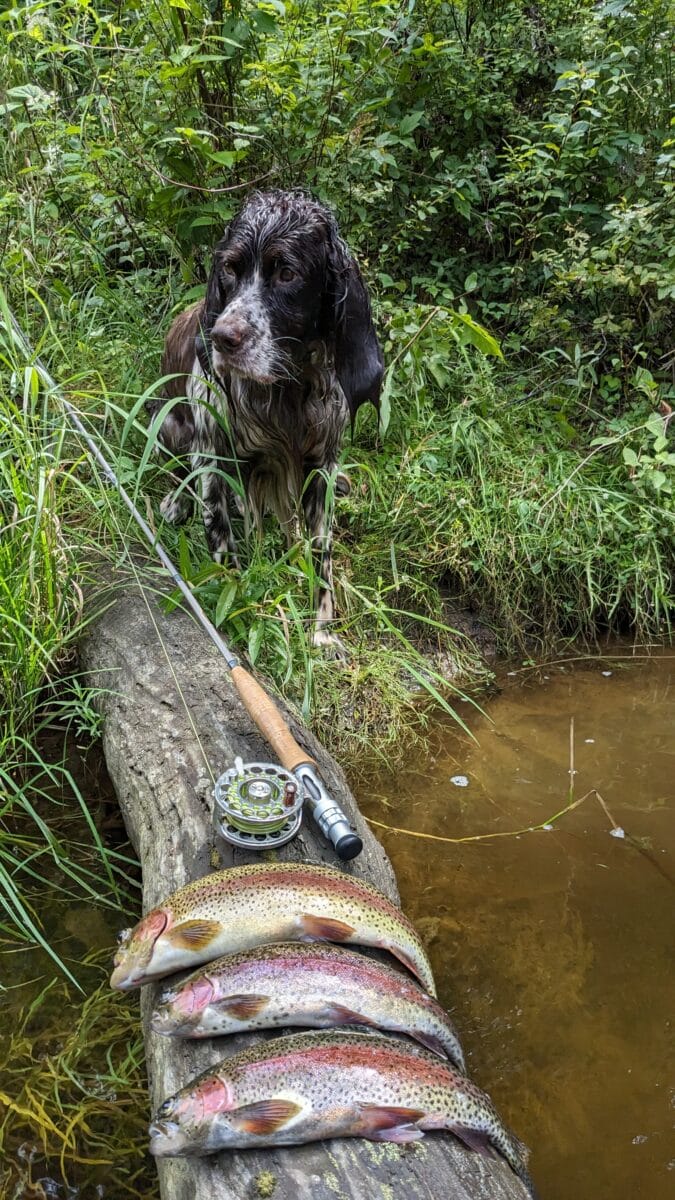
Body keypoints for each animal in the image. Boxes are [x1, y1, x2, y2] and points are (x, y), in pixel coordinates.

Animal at [149, 189, 381, 648]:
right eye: (229, 269)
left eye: (287, 273)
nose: (222, 337)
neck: (284, 390)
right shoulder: (212, 455)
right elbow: (223, 548)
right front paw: (237, 607)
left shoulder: (320, 463)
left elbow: (322, 554)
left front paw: (322, 632)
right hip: (166, 424)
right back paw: (176, 501)